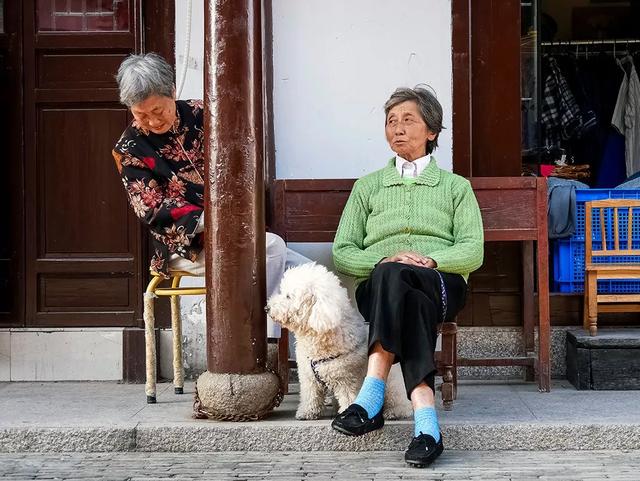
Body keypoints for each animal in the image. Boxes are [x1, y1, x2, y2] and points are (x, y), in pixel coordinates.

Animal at [264, 260, 410, 418]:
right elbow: (310, 395)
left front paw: (347, 413)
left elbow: (349, 398)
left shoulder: (347, 378)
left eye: (288, 296)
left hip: (392, 383)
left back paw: (394, 411)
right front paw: (307, 412)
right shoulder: (308, 377)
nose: (267, 308)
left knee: (398, 401)